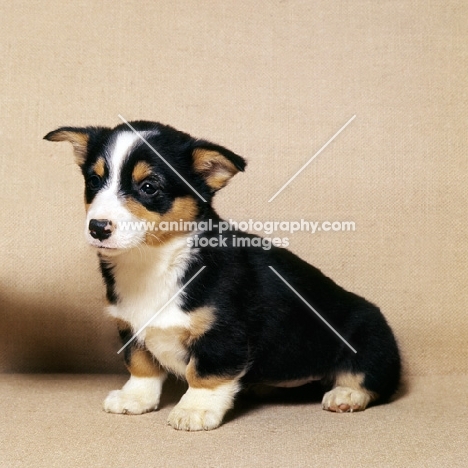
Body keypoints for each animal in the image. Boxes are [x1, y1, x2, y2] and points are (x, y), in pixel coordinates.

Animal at [45, 121, 400, 432]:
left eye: (149, 187)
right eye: (94, 181)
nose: (97, 228)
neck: (154, 261)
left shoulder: (223, 333)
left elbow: (205, 374)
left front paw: (195, 410)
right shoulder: (130, 328)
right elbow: (141, 366)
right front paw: (135, 399)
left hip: (369, 334)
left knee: (371, 379)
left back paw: (346, 394)